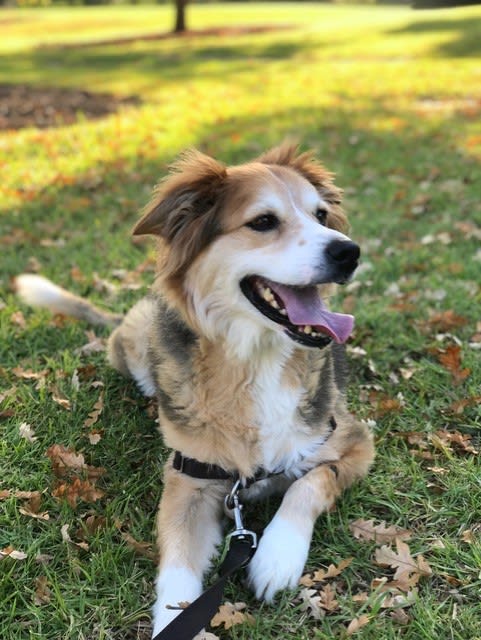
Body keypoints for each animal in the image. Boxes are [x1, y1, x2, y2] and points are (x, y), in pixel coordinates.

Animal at [15, 142, 374, 636]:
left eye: (321, 215)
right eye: (264, 221)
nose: (349, 252)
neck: (256, 362)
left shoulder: (354, 442)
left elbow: (309, 483)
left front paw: (277, 556)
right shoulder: (189, 477)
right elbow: (178, 565)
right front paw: (176, 619)